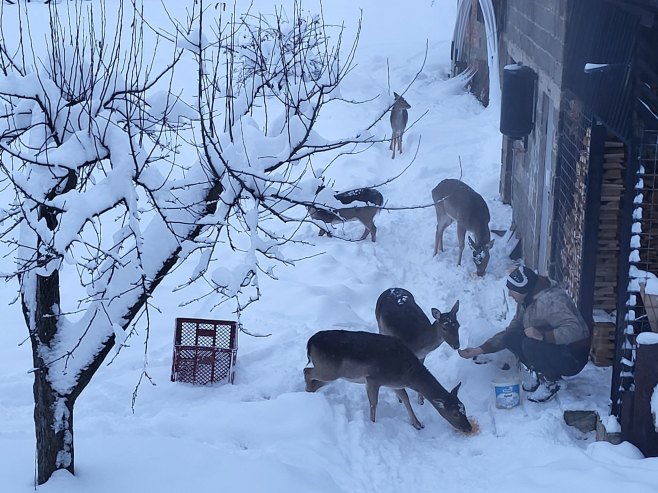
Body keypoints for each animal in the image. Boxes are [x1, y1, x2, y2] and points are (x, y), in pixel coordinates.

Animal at [304, 330, 472, 430]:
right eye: (455, 413)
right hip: (328, 370)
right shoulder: (373, 378)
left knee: (313, 380)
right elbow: (374, 403)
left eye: (464, 407)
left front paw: (417, 424)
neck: (408, 374)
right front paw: (372, 425)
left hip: (332, 373)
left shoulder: (394, 384)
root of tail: (310, 342)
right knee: (307, 371)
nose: (468, 427)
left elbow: (405, 398)